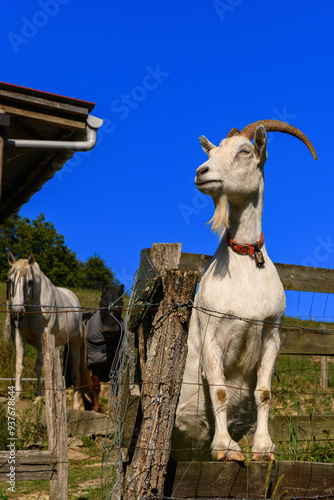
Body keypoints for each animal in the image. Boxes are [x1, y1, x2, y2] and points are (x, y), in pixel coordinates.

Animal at [7, 252, 87, 408]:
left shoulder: (41, 337)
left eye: (30, 282)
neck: (32, 308)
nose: (16, 313)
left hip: (74, 345)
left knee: (75, 374)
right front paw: (17, 396)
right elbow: (19, 365)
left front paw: (38, 398)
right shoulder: (19, 336)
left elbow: (39, 367)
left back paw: (76, 405)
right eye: (10, 280)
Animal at [174, 120, 318, 460]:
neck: (245, 259)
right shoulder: (212, 332)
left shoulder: (271, 333)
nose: (201, 172)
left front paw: (263, 448)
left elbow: (263, 392)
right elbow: (220, 391)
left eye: (244, 151)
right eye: (211, 152)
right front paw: (225, 448)